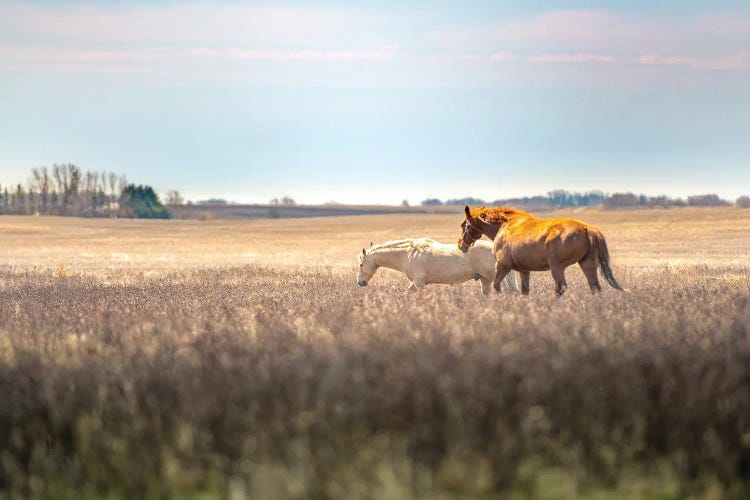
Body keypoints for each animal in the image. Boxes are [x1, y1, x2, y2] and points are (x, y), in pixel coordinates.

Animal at [356, 238, 516, 292]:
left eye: (361, 264)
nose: (360, 283)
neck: (408, 254)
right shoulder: (416, 283)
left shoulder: (419, 283)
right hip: (484, 280)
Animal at [458, 205, 624, 294]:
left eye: (464, 224)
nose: (461, 244)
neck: (504, 226)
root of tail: (588, 228)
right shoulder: (524, 270)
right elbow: (525, 291)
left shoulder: (502, 265)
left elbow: (497, 285)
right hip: (587, 264)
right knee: (595, 287)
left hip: (557, 267)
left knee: (561, 288)